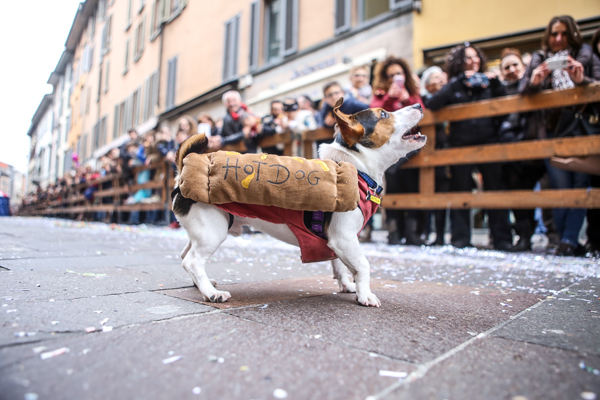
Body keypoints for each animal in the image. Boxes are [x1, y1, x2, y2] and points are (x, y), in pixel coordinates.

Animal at [172, 99, 426, 306]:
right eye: (383, 114)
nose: (419, 104)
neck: (357, 168)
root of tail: (184, 171)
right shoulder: (344, 237)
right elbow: (362, 265)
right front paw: (365, 295)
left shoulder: (337, 242)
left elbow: (341, 265)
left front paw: (347, 285)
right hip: (213, 231)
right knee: (193, 262)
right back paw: (212, 293)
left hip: (202, 232)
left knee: (185, 256)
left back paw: (202, 285)